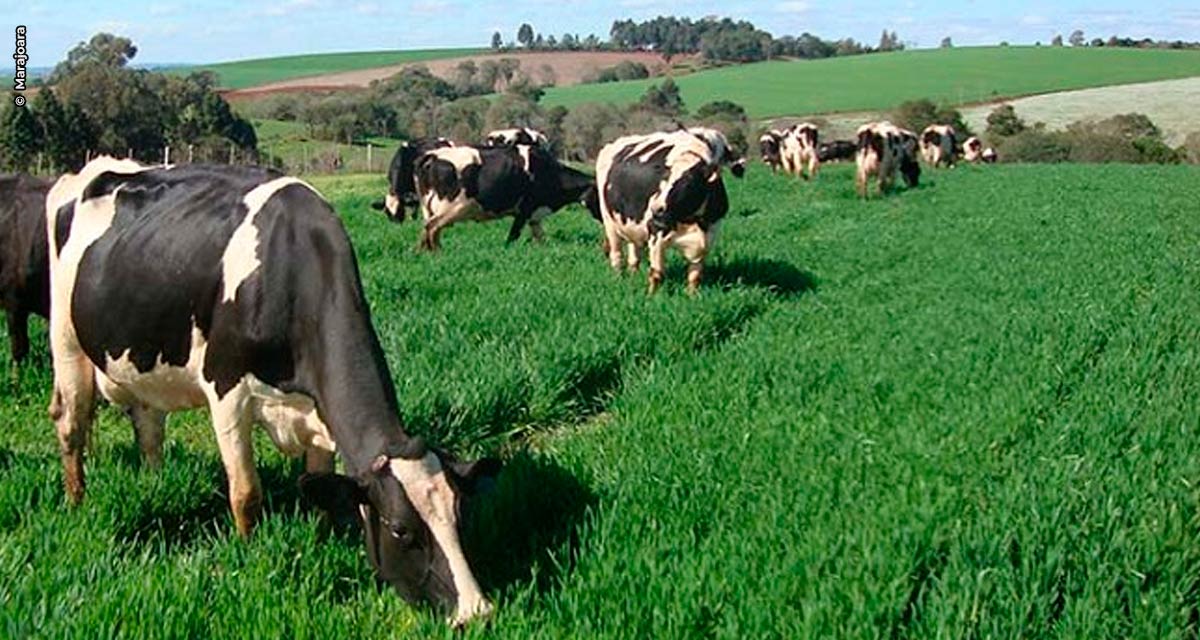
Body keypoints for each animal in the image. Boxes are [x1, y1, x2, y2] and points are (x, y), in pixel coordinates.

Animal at [45, 157, 496, 624]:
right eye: (401, 530)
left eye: (460, 516)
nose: (477, 611)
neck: (290, 274)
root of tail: (98, 167)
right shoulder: (226, 392)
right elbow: (246, 493)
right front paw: (245, 554)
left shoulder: (317, 416)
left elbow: (318, 493)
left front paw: (321, 542)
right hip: (66, 340)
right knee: (70, 425)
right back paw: (76, 501)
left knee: (148, 428)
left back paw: (155, 485)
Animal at [412, 142, 595, 249]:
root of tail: (433, 155)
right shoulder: (524, 209)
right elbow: (513, 236)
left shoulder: (534, 214)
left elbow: (540, 236)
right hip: (453, 207)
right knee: (432, 227)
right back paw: (437, 253)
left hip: (430, 209)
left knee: (427, 230)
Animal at [588, 125, 744, 294]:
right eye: (665, 177)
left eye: (689, 182)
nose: (656, 209)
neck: (694, 220)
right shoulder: (655, 231)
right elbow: (656, 273)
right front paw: (651, 296)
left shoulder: (709, 236)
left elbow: (695, 275)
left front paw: (692, 295)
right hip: (610, 222)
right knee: (616, 254)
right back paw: (619, 278)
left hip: (631, 223)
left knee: (634, 254)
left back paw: (632, 276)